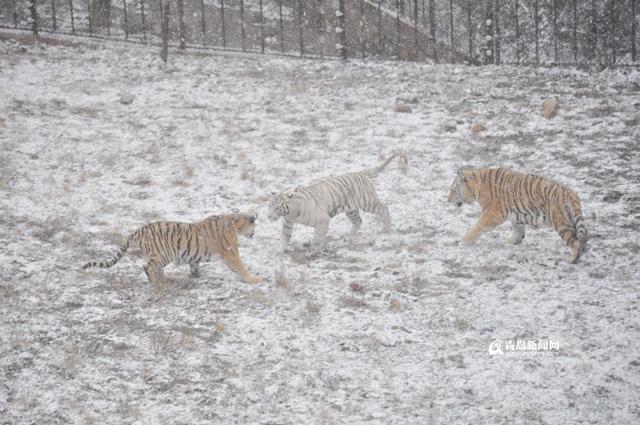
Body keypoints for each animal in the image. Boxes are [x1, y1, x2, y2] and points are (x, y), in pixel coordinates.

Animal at [81, 214, 262, 284]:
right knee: (148, 267)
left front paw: (196, 275)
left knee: (152, 267)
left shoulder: (194, 256)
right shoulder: (231, 253)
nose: (255, 233)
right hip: (164, 253)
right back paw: (159, 282)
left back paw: (164, 278)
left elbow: (194, 264)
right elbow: (240, 267)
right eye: (254, 226)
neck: (235, 223)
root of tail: (138, 230)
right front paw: (253, 279)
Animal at [268, 150, 408, 250]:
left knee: (383, 208)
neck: (291, 212)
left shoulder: (322, 220)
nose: (269, 216)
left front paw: (315, 246)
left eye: (277, 207)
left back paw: (386, 229)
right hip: (351, 209)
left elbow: (318, 236)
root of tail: (362, 172)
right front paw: (280, 251)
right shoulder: (287, 223)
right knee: (358, 221)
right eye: (269, 206)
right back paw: (348, 235)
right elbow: (284, 236)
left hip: (367, 203)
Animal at [448, 166, 588, 262]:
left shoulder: (491, 214)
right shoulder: (517, 215)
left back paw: (571, 260)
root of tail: (571, 193)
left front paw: (465, 241)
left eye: (453, 190)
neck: (477, 186)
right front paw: (511, 241)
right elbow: (517, 229)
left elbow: (477, 226)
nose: (448, 200)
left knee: (575, 243)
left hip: (561, 224)